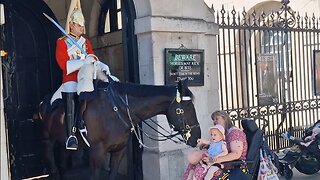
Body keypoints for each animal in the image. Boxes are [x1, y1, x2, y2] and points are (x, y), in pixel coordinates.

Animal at [38, 79, 200, 179]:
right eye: (185, 108)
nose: (197, 137)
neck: (117, 110)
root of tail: (44, 101)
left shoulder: (119, 151)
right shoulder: (97, 153)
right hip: (47, 141)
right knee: (53, 168)